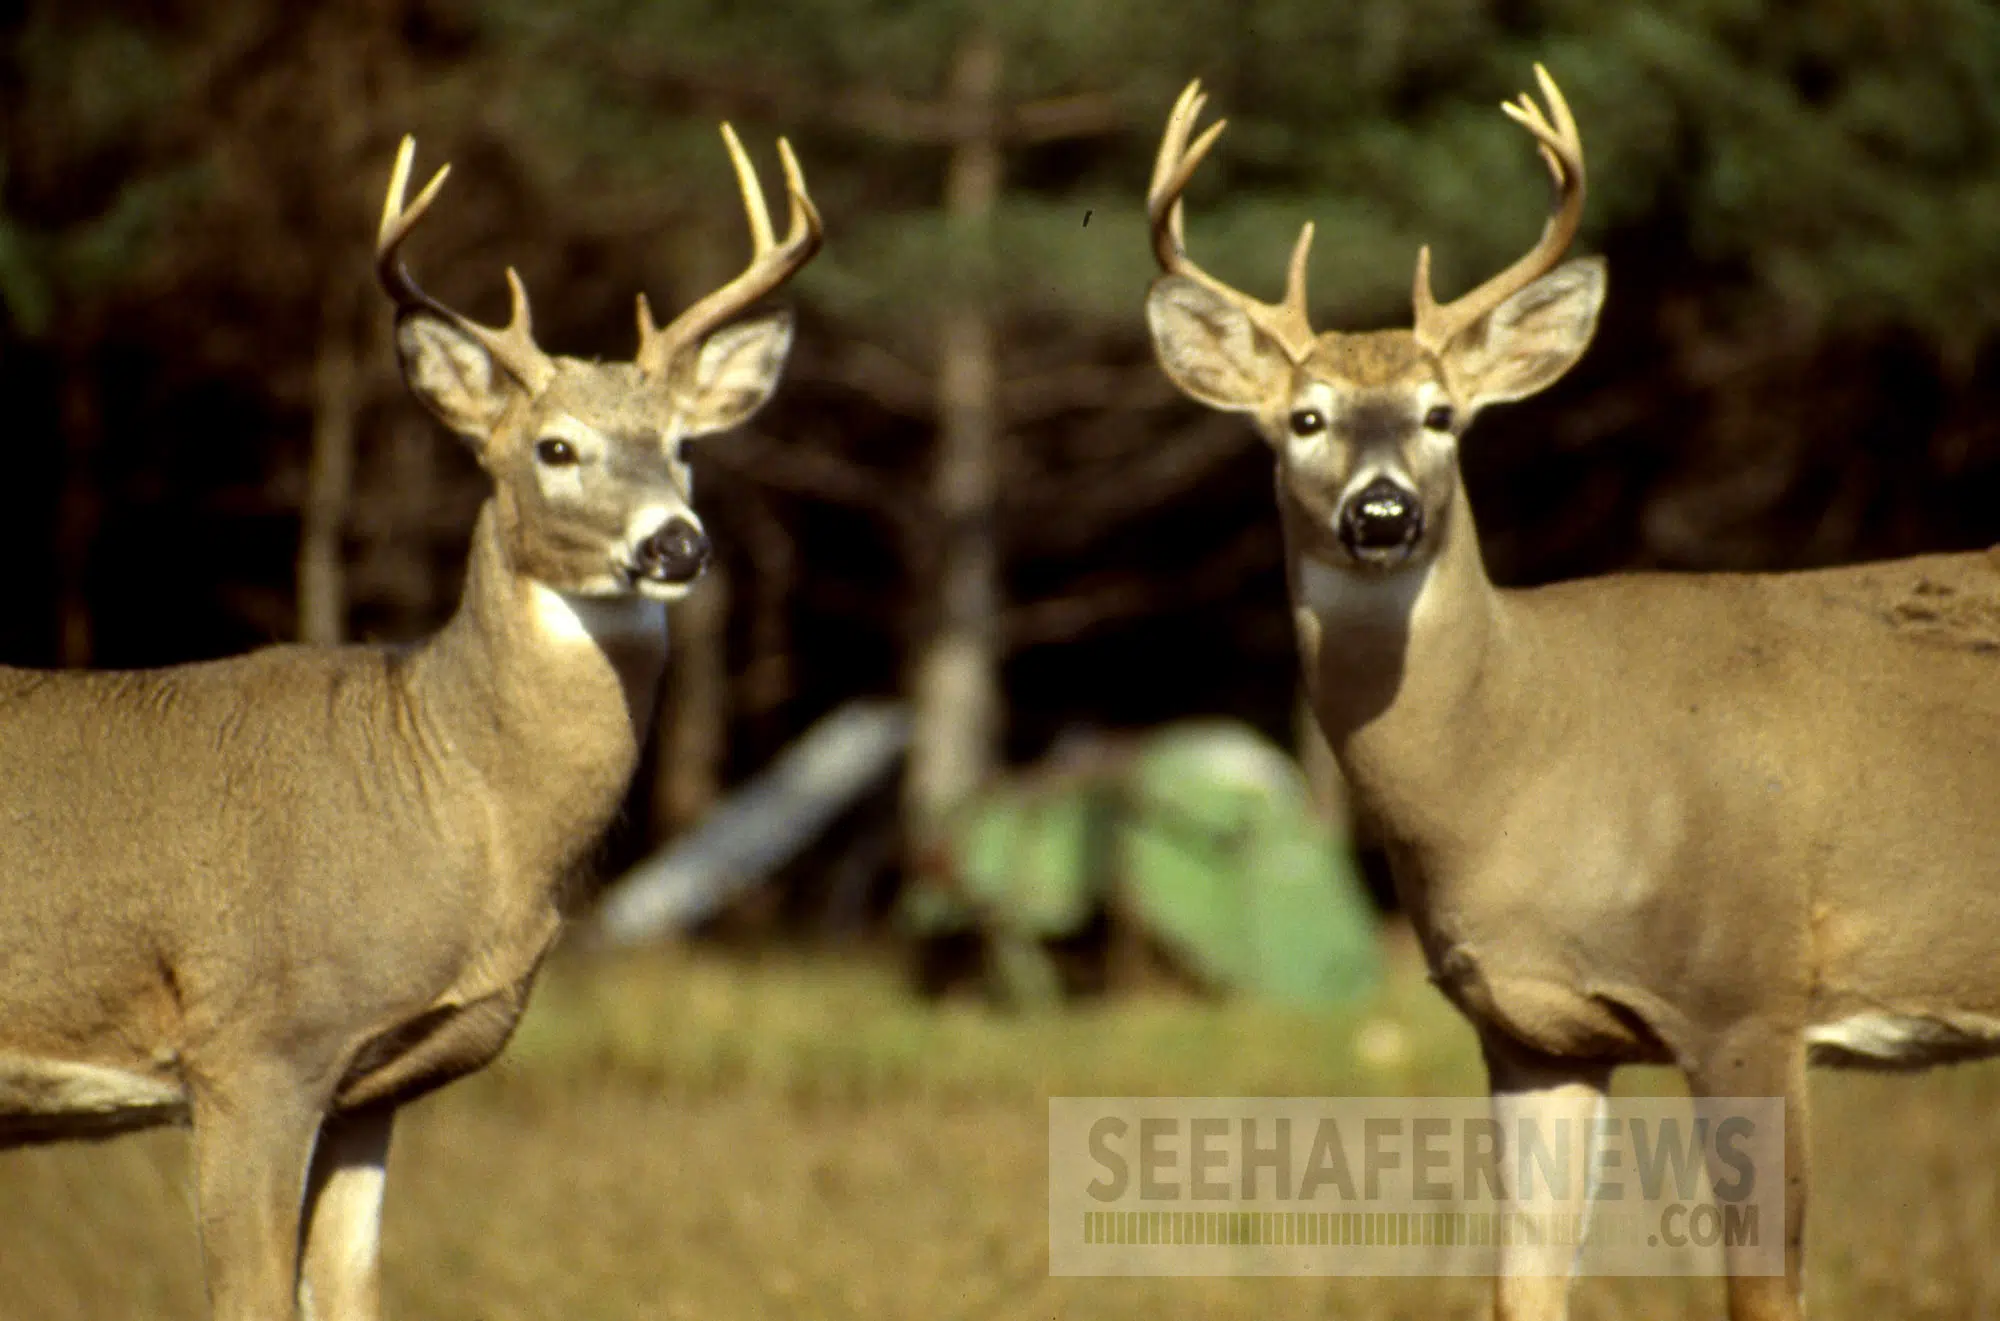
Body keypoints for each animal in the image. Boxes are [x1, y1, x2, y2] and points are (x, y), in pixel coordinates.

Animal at [0, 126, 820, 1321]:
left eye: (683, 446)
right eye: (555, 448)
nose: (677, 543)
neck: (447, 791)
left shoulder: (367, 1086)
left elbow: (350, 1294)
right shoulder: (252, 1047)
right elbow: (251, 1300)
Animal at [1144, 64, 2000, 1321]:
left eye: (1440, 413)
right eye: (1302, 419)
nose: (1382, 512)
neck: (1527, 759)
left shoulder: (1747, 993)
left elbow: (1762, 1292)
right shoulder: (1529, 1033)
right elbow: (1522, 1288)